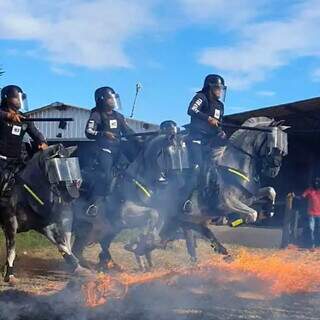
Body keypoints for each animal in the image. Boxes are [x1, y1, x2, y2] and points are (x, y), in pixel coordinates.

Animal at [0, 144, 87, 284]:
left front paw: (78, 267)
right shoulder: (10, 222)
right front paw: (10, 274)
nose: (72, 194)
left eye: (71, 165)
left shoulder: (43, 226)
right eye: (58, 166)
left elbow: (61, 245)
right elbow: (11, 249)